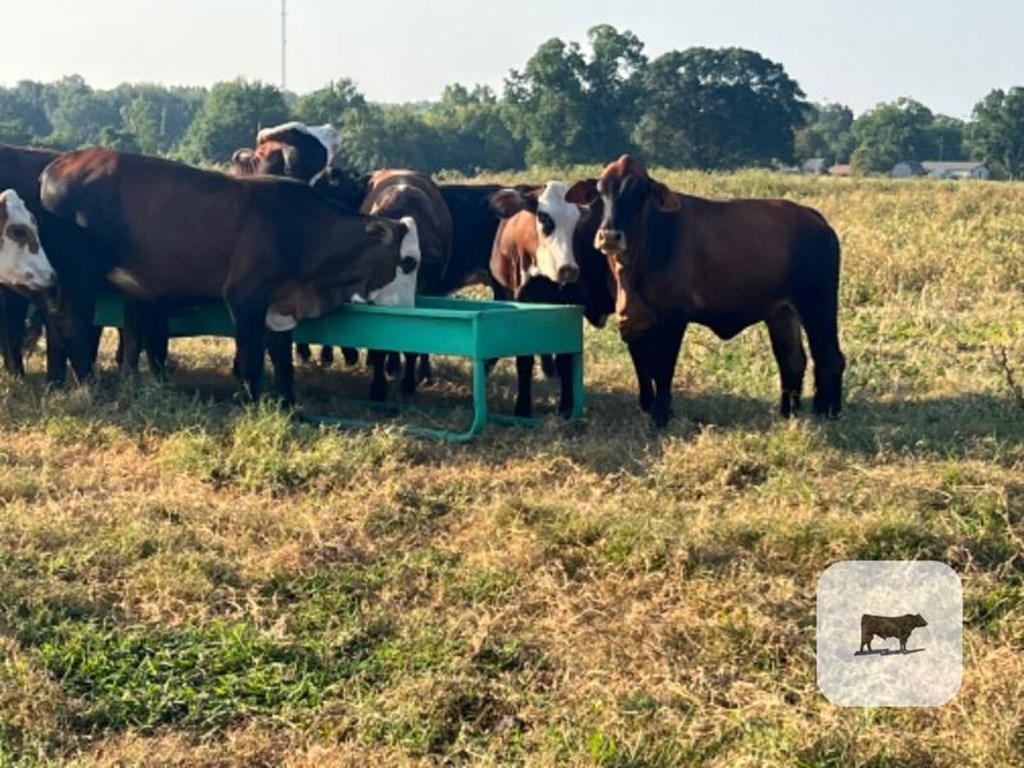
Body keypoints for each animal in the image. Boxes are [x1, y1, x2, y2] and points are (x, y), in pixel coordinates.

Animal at [39, 146, 415, 405]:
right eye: (409, 262)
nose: (408, 308)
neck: (300, 227)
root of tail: (56, 167)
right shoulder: (245, 298)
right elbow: (251, 359)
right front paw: (251, 402)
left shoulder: (279, 303)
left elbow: (282, 358)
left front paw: (288, 404)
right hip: (79, 277)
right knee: (73, 326)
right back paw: (90, 384)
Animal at [485, 181, 610, 417]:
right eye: (544, 218)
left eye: (576, 223)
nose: (568, 269)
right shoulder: (521, 302)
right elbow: (524, 360)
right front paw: (522, 408)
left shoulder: (568, 304)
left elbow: (565, 359)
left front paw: (567, 407)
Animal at [573, 153, 843, 430]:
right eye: (601, 190)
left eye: (639, 192)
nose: (609, 236)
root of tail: (817, 219)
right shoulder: (635, 319)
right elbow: (644, 367)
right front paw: (652, 409)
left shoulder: (673, 317)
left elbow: (662, 368)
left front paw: (661, 416)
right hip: (781, 313)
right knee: (792, 360)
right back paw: (788, 414)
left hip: (817, 304)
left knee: (829, 356)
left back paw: (826, 413)